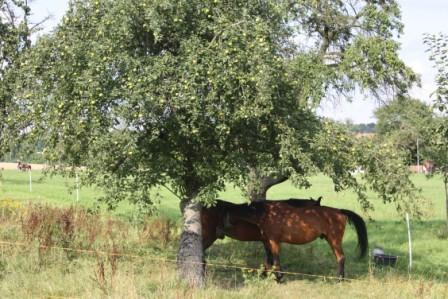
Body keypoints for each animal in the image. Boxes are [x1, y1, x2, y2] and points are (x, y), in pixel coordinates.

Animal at [229, 204, 370, 282]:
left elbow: (276, 259)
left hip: (334, 240)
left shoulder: (274, 241)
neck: (268, 214)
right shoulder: (268, 241)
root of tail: (340, 211)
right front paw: (267, 275)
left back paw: (339, 279)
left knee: (341, 258)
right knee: (340, 258)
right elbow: (269, 260)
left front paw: (279, 277)